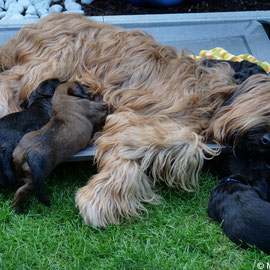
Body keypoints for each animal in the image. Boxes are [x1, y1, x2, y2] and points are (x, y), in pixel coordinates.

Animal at [12, 81, 107, 212]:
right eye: (82, 85)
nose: (93, 87)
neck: (63, 98)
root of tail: (27, 154)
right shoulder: (98, 109)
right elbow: (104, 106)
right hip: (37, 177)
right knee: (20, 192)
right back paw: (18, 209)